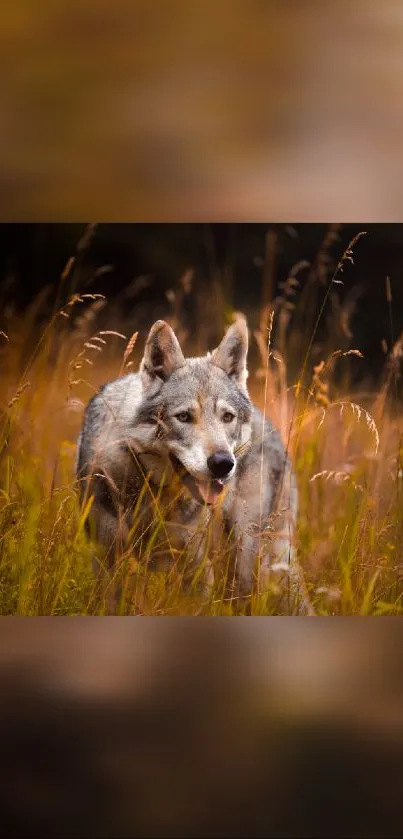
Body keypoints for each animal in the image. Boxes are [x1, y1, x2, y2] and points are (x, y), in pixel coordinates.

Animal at [76, 318, 312, 614]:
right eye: (184, 417)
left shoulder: (196, 569)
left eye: (227, 417)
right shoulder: (106, 561)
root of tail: (272, 426)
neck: (153, 494)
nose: (223, 464)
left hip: (247, 560)